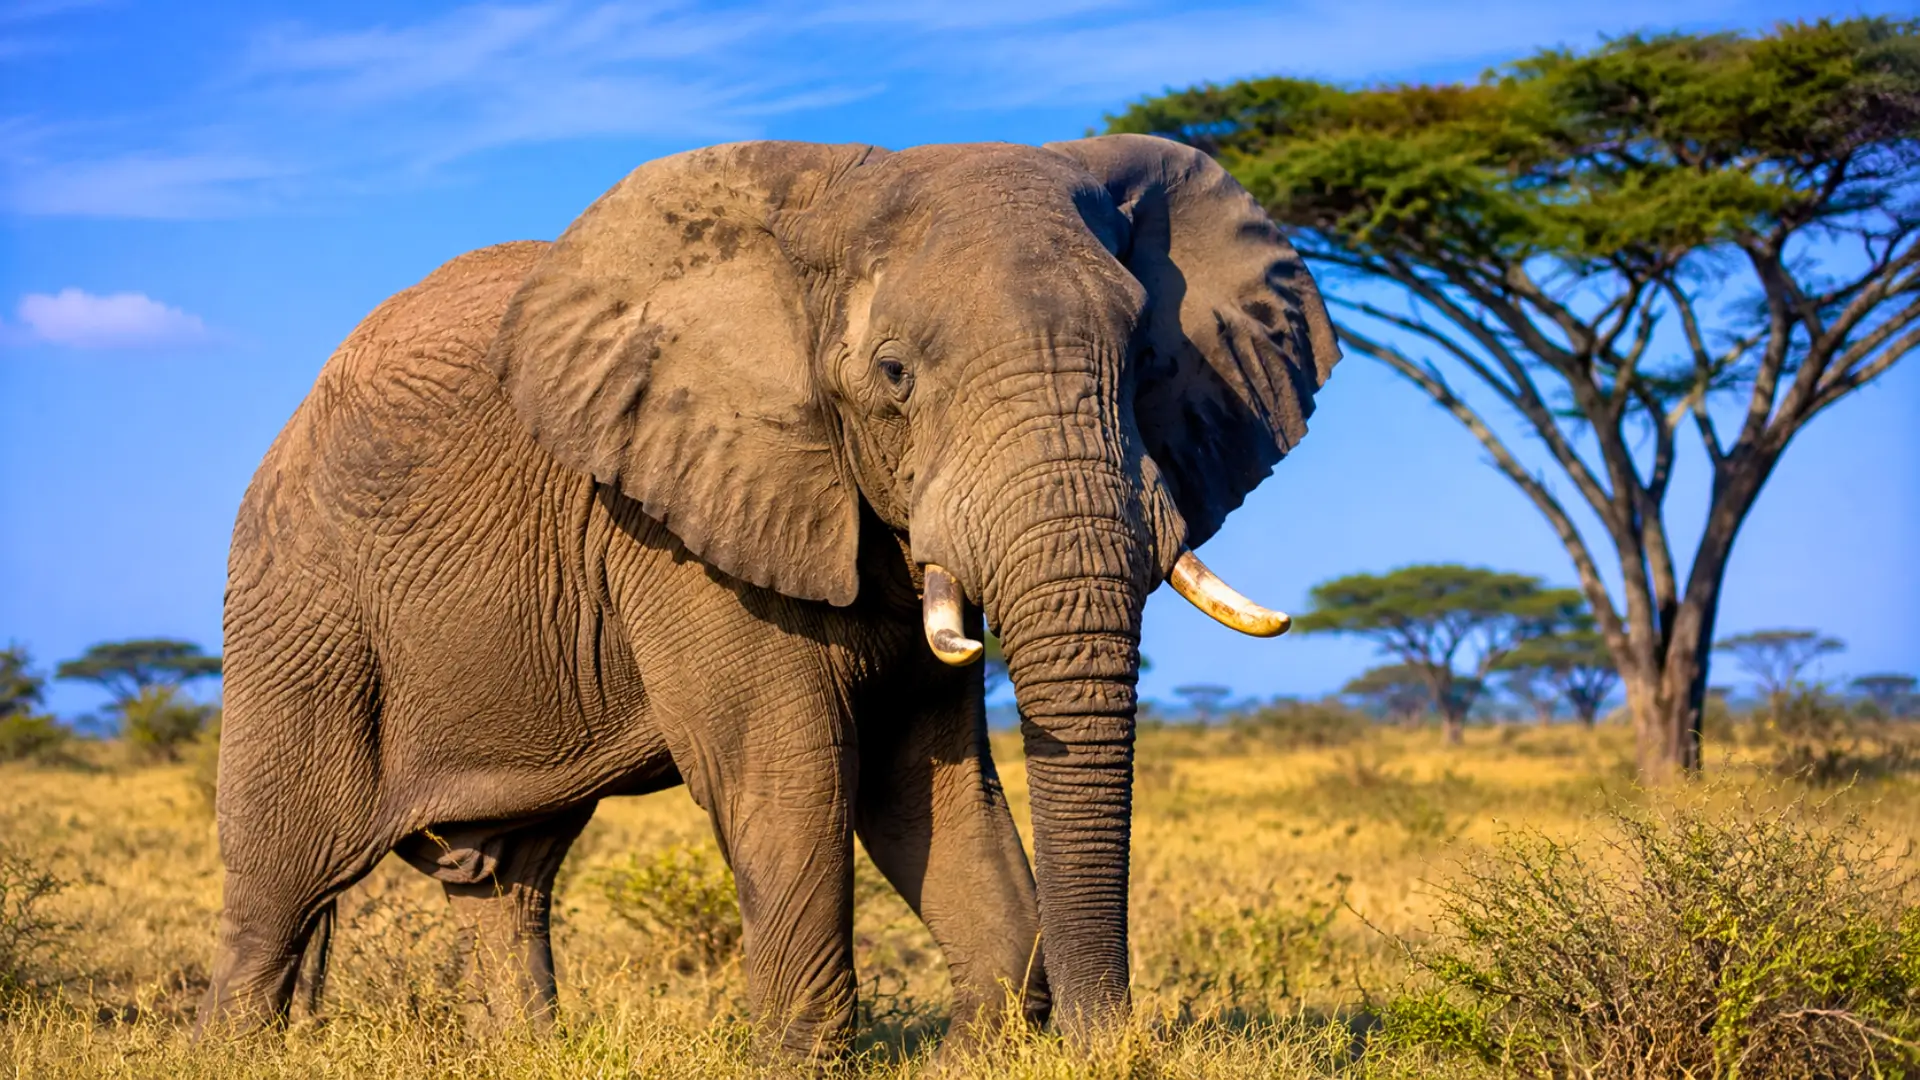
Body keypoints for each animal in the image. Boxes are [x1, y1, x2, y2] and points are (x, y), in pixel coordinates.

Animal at [197, 134, 1340, 1054]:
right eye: (894, 375)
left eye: (1145, 358)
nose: (1111, 1044)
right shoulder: (678, 519)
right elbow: (794, 771)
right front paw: (806, 1059)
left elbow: (922, 775)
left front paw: (986, 1047)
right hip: (300, 603)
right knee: (279, 882)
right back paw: (237, 1044)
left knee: (506, 875)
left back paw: (523, 1050)